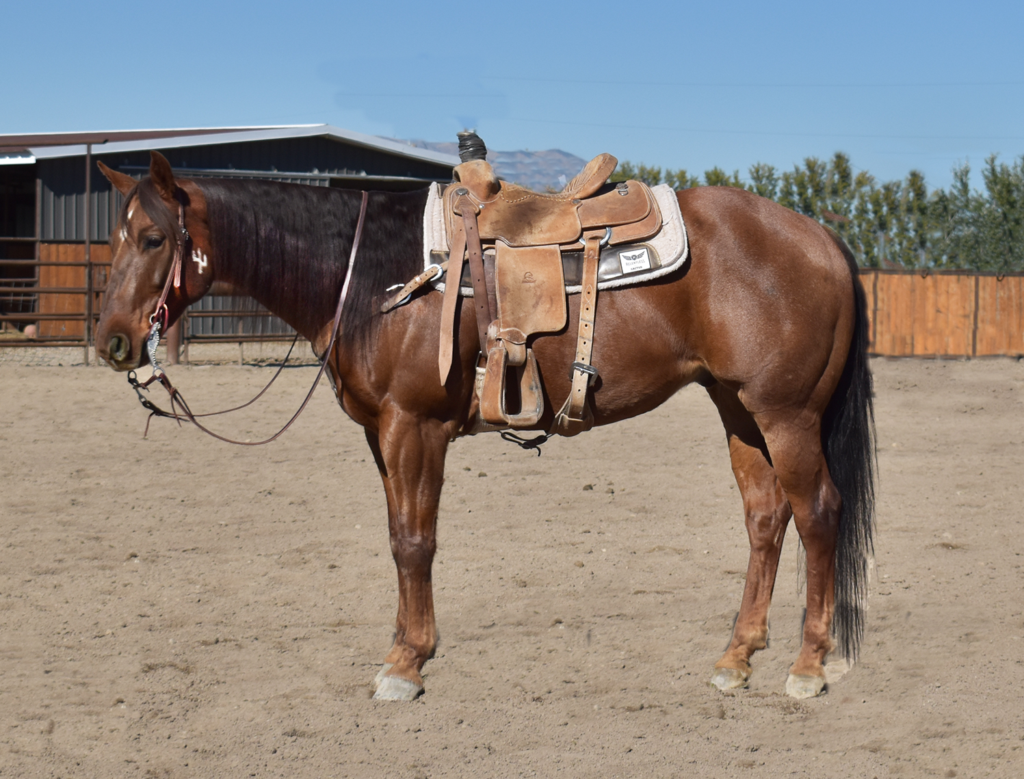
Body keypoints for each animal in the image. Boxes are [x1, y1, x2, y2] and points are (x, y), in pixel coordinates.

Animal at [94, 151, 874, 702]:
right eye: (115, 237)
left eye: (154, 238)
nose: (111, 342)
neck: (369, 274)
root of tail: (824, 239)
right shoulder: (381, 434)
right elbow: (398, 536)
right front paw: (404, 646)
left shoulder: (415, 427)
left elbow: (414, 542)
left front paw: (406, 664)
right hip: (737, 408)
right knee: (766, 517)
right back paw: (737, 656)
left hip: (787, 414)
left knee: (818, 513)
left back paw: (808, 665)